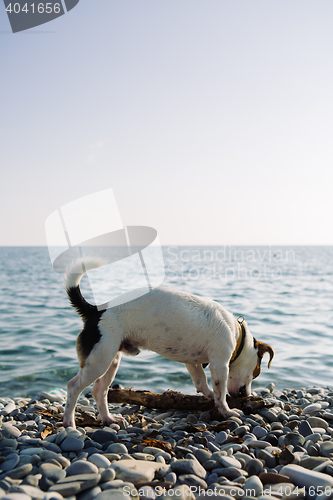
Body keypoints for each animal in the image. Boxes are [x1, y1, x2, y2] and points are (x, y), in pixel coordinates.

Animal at [62, 268, 272, 428]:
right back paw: (69, 423)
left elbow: (202, 383)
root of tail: (96, 311)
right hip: (99, 361)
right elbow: (221, 394)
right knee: (73, 387)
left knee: (99, 392)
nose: (247, 395)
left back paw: (108, 418)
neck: (236, 333)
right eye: (256, 373)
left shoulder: (193, 363)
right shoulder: (220, 365)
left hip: (110, 360)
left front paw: (210, 397)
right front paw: (227, 411)